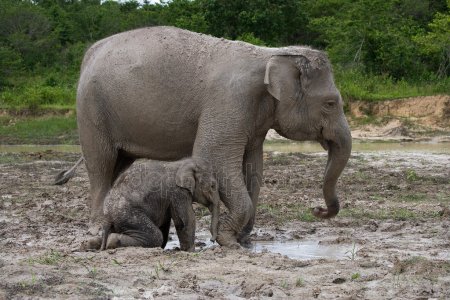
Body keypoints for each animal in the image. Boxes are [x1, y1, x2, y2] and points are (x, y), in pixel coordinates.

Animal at [63, 25, 352, 247]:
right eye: (330, 103)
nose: (317, 210)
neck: (271, 54)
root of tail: (90, 53)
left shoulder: (254, 120)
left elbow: (254, 168)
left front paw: (243, 239)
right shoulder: (230, 100)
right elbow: (215, 157)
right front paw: (228, 240)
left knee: (118, 165)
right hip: (90, 112)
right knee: (100, 166)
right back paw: (95, 229)